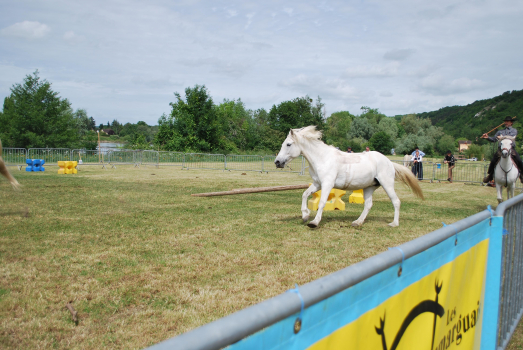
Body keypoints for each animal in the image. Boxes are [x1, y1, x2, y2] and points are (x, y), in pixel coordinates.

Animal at [276, 127, 424, 228]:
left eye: (288, 144)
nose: (277, 162)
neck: (322, 158)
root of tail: (389, 162)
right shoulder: (317, 183)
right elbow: (305, 194)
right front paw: (305, 215)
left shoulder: (327, 184)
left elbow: (322, 202)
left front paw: (314, 222)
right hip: (369, 187)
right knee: (368, 204)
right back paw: (358, 222)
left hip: (387, 184)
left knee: (396, 201)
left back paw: (394, 223)